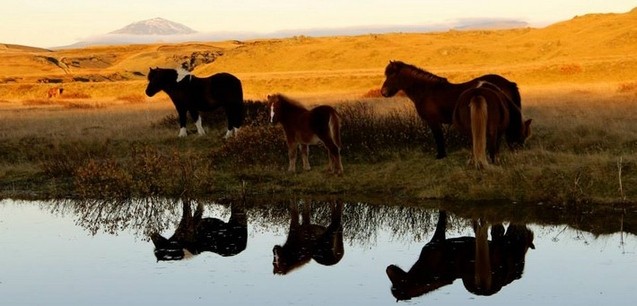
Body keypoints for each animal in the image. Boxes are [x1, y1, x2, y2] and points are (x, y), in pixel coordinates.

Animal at [380, 60, 524, 159]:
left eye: (391, 76)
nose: (383, 92)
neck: (427, 91)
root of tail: (508, 83)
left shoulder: (433, 121)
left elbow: (438, 138)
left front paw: (441, 155)